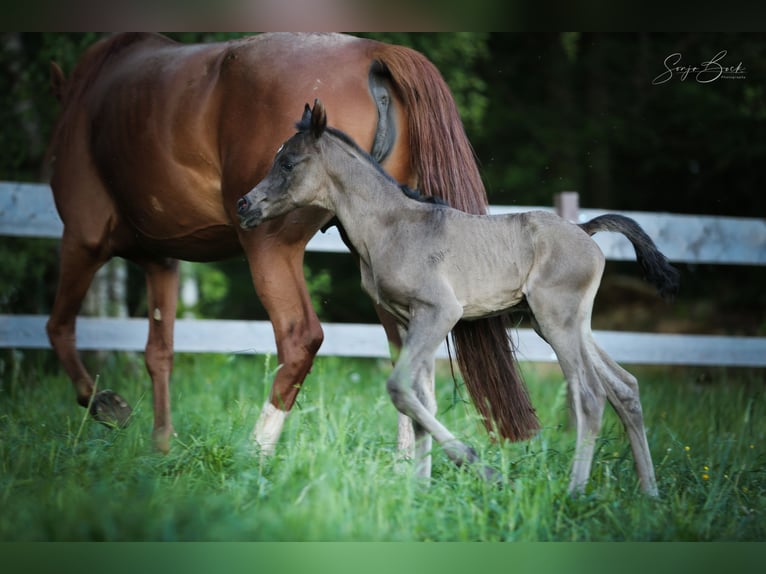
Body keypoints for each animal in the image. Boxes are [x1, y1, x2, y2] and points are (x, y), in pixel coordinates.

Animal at [46, 33, 540, 456]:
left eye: (286, 161)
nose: (246, 203)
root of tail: (374, 51)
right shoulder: (161, 261)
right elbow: (158, 352)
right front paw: (161, 446)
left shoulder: (82, 239)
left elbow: (59, 327)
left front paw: (106, 405)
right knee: (404, 352)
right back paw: (406, 463)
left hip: (269, 248)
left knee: (302, 338)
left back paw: (257, 451)